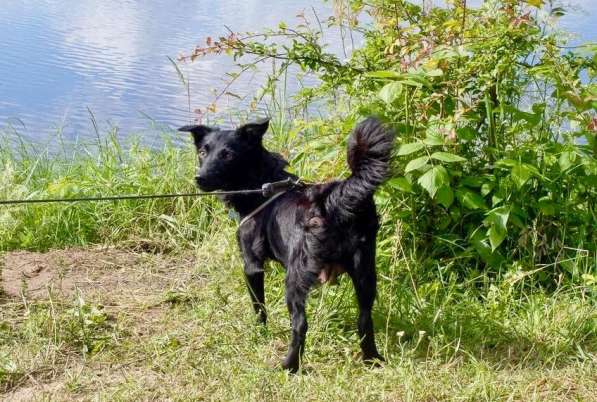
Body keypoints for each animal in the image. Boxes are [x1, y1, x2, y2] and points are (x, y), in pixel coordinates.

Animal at [178, 118, 392, 372]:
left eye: (228, 155)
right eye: (203, 152)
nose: (199, 177)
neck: (259, 185)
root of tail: (333, 200)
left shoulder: (251, 265)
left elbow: (259, 306)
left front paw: (259, 333)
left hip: (295, 278)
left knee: (300, 324)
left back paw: (289, 366)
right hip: (365, 272)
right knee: (365, 318)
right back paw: (372, 359)